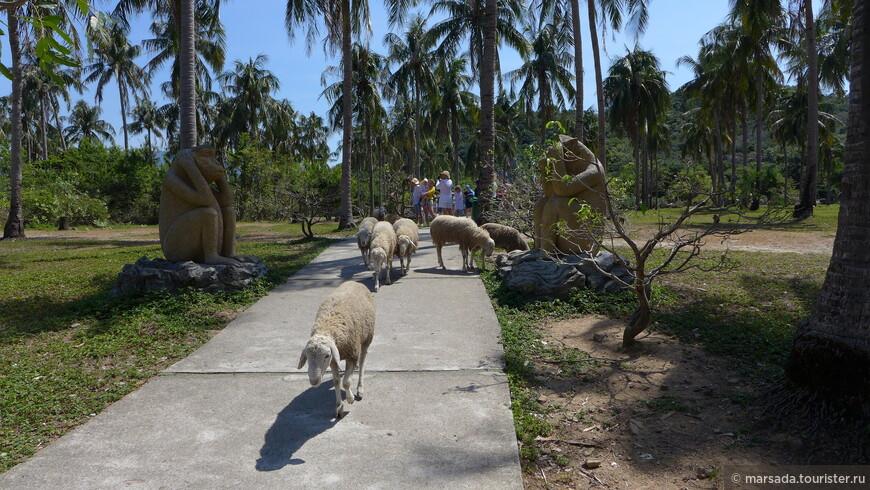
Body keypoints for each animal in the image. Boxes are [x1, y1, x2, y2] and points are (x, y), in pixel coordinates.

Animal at [298, 282, 376, 420]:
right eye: (307, 356)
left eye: (326, 355)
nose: (313, 382)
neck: (327, 327)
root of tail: (356, 282)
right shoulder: (334, 360)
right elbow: (336, 381)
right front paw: (339, 407)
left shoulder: (351, 354)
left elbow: (346, 382)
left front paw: (350, 399)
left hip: (366, 339)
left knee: (362, 362)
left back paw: (360, 388)